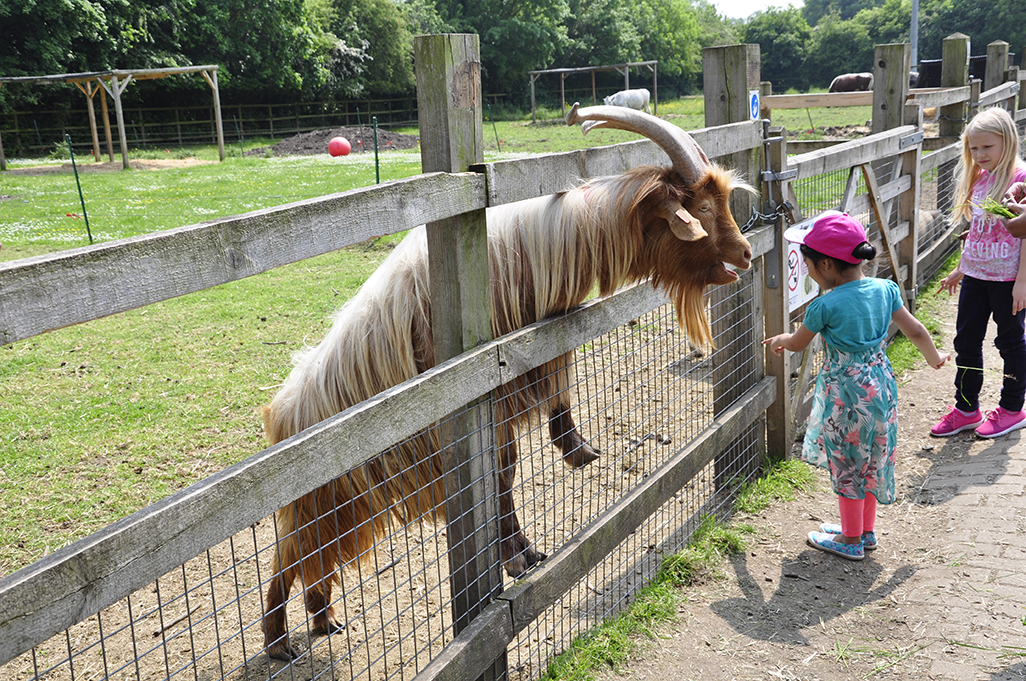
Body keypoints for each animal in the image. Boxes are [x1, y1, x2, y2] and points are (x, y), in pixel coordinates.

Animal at [258, 105, 755, 660]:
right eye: (704, 207)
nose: (746, 255)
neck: (532, 253)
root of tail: (282, 417)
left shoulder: (519, 386)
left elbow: (513, 467)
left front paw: (536, 527)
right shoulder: (484, 408)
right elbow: (497, 481)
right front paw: (517, 558)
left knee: (313, 558)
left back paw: (323, 620)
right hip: (325, 497)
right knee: (289, 552)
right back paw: (280, 642)